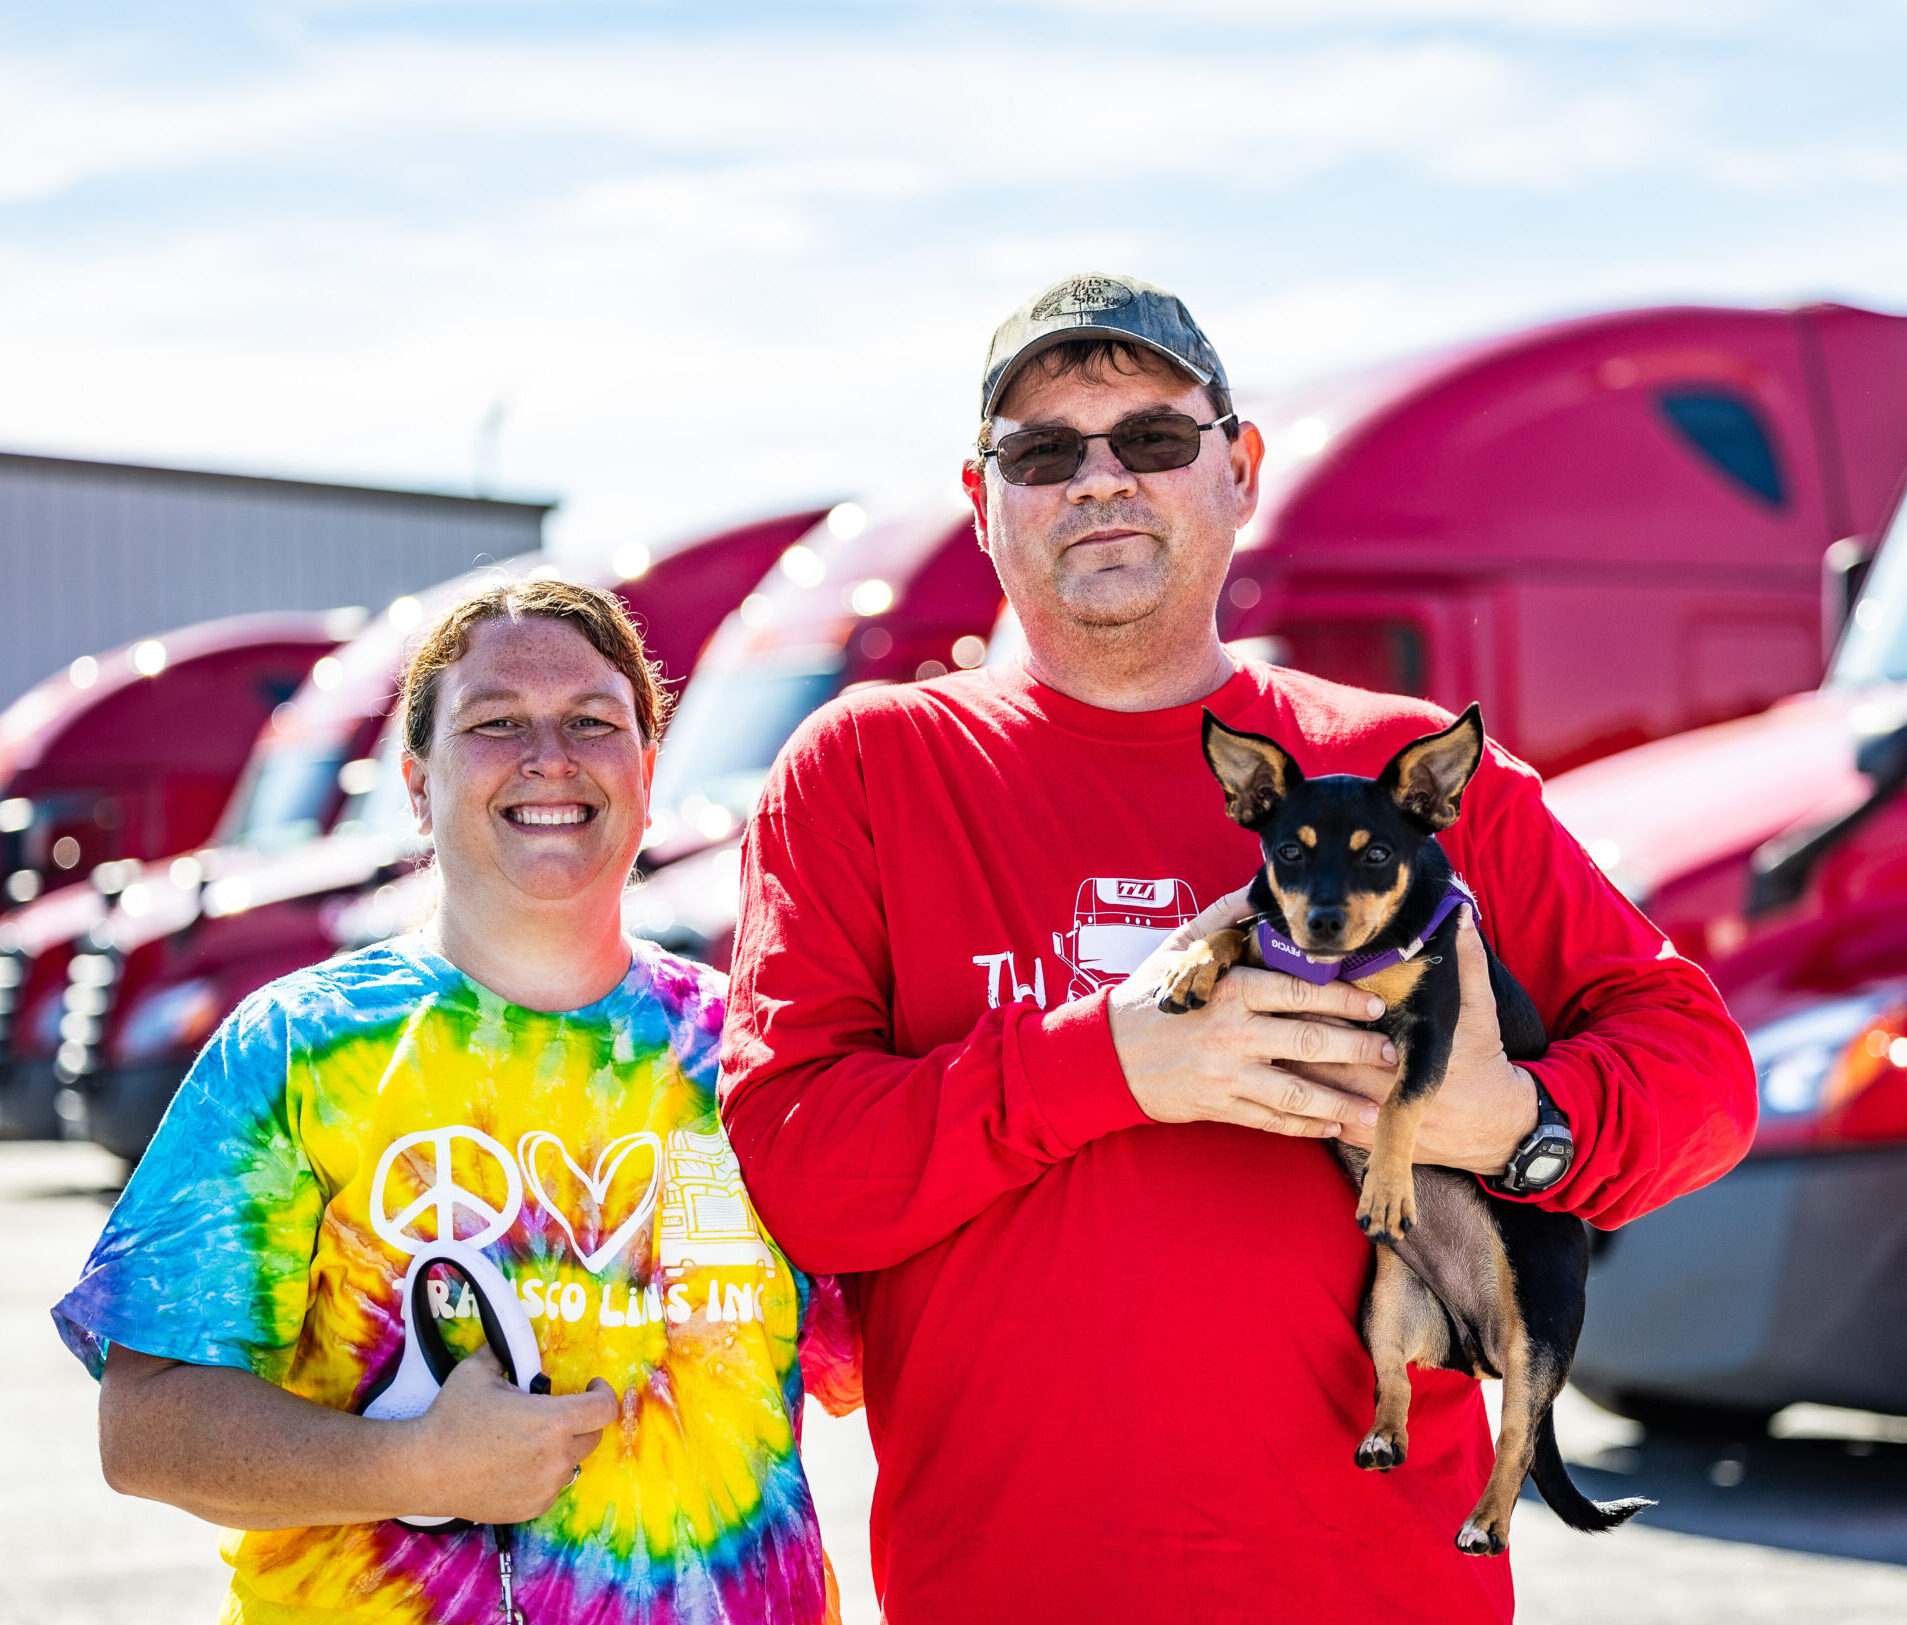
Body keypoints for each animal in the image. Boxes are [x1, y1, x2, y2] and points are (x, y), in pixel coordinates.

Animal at [1151, 709, 1647, 1563]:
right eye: (1289, 852)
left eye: (1378, 854)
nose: (1321, 920)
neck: (1344, 963)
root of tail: (1470, 1340)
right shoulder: (1270, 937)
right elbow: (1240, 927)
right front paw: (1190, 965)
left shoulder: (1434, 1028)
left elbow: (1395, 1107)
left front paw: (1386, 1185)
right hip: (1383, 1303)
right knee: (1395, 1376)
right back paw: (1385, 1435)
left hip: (1538, 1329)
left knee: (1516, 1434)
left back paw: (1486, 1522)